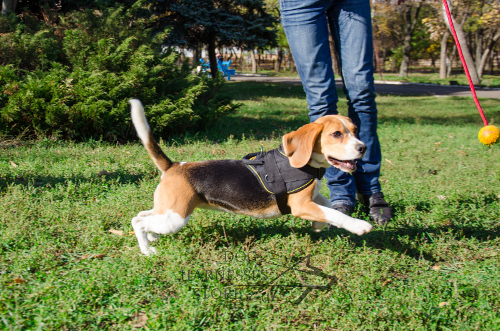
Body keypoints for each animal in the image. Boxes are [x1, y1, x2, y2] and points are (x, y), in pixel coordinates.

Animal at [128, 99, 372, 256]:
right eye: (336, 134)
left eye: (355, 130)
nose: (363, 148)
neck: (308, 165)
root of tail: (174, 166)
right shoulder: (301, 205)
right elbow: (334, 213)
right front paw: (359, 225)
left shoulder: (312, 199)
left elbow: (329, 206)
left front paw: (319, 226)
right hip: (175, 218)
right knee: (138, 221)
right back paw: (147, 250)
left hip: (168, 211)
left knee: (141, 216)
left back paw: (151, 237)